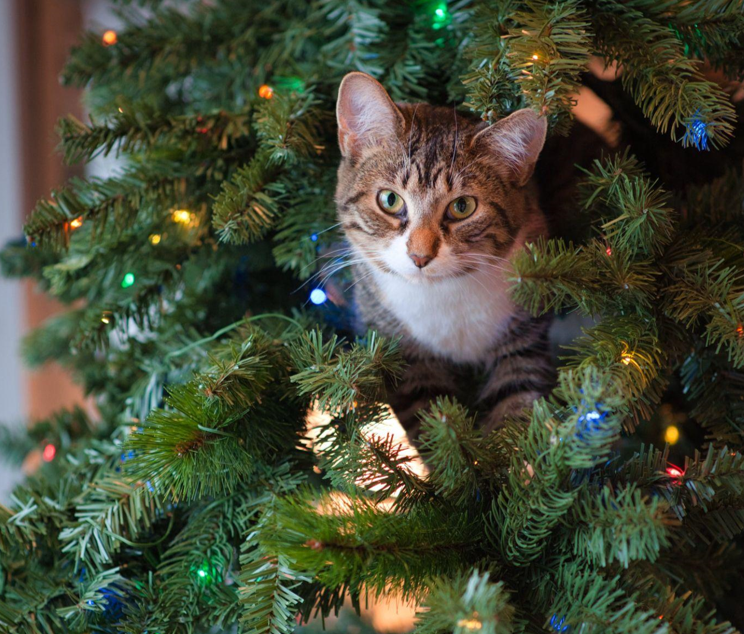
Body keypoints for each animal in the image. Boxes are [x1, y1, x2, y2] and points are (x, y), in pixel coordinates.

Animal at [334, 69, 556, 434]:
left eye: (462, 207)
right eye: (389, 200)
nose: (420, 256)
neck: (444, 295)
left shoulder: (525, 334)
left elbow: (516, 403)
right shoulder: (406, 357)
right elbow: (435, 422)